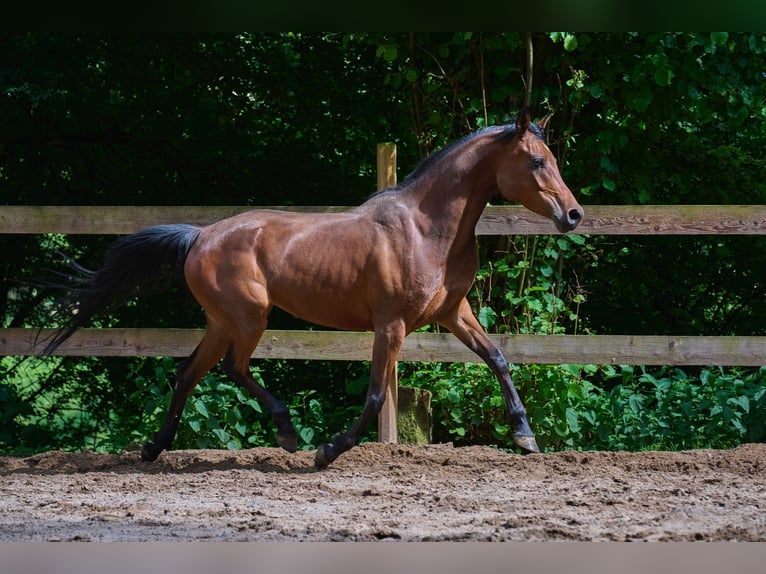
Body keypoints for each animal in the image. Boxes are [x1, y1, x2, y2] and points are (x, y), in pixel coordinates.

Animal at [42, 110, 584, 470]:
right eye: (536, 162)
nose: (574, 214)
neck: (426, 228)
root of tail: (200, 236)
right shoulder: (391, 325)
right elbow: (374, 396)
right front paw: (327, 451)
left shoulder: (454, 312)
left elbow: (498, 359)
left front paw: (526, 437)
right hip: (249, 318)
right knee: (232, 368)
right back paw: (287, 433)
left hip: (222, 321)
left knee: (189, 373)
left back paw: (154, 449)